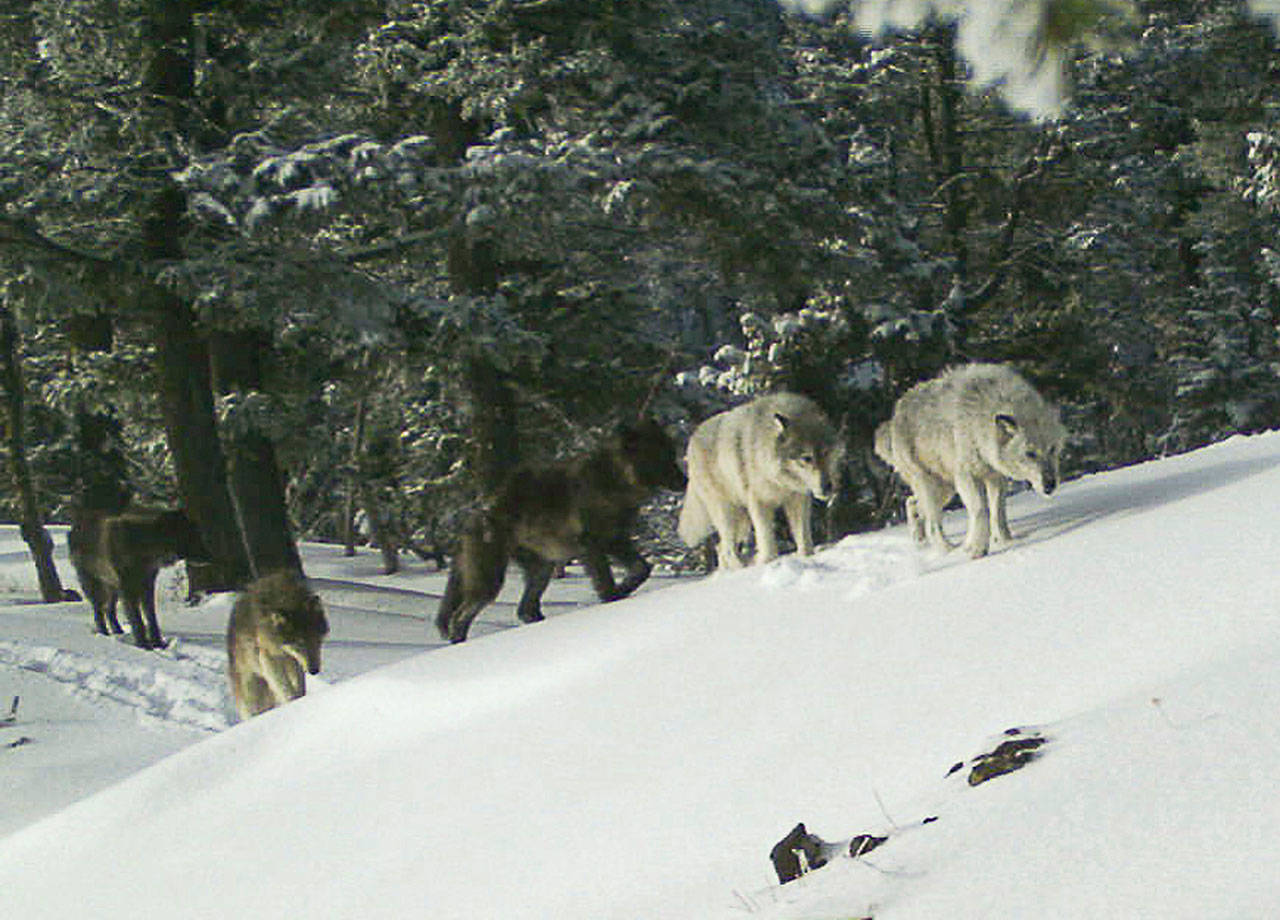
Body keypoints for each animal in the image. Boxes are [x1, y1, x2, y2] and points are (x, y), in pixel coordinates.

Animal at [68, 506, 208, 652]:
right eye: (191, 536)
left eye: (197, 534)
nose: (210, 557)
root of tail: (74, 528)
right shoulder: (128, 589)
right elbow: (137, 619)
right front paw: (143, 645)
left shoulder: (147, 585)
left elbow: (151, 617)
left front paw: (158, 643)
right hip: (94, 584)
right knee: (98, 610)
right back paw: (104, 634)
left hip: (112, 587)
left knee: (109, 609)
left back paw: (118, 632)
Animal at [229, 573, 332, 721]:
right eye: (299, 643)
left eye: (317, 641)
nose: (314, 670)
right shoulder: (269, 658)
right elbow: (284, 688)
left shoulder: (295, 663)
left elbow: (299, 686)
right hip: (250, 689)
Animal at [432, 419, 691, 644]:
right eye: (661, 458)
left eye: (672, 455)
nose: (686, 481)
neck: (614, 480)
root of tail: (471, 517)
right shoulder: (592, 544)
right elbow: (606, 581)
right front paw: (613, 599)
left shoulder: (615, 539)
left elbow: (642, 569)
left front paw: (624, 588)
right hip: (490, 581)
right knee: (460, 618)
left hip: (541, 570)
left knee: (524, 611)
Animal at [675, 388, 844, 568]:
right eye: (807, 458)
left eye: (826, 452)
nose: (828, 487)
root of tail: (692, 439)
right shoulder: (760, 503)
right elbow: (767, 541)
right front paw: (768, 562)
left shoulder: (797, 499)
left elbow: (803, 539)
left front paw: (807, 557)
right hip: (728, 514)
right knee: (727, 549)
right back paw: (742, 569)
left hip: (742, 521)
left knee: (721, 548)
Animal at [880, 363, 1070, 557]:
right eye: (1030, 453)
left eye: (1052, 449)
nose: (1050, 485)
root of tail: (895, 415)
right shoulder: (968, 476)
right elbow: (980, 510)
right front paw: (977, 549)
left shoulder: (995, 477)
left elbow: (997, 512)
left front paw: (1005, 541)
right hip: (934, 487)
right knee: (932, 523)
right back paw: (948, 551)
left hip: (946, 489)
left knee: (912, 503)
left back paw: (920, 541)